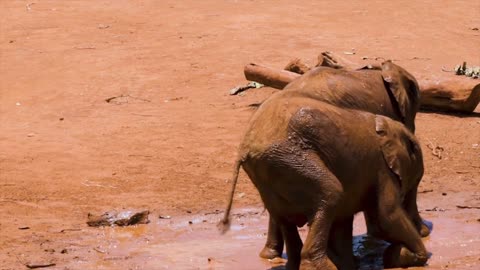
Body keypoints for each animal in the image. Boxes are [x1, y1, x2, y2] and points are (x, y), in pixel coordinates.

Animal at [219, 92, 430, 268]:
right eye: (415, 150)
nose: (425, 234)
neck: (389, 125)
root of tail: (245, 146)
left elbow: (347, 222)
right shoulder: (382, 167)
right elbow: (385, 217)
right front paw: (411, 256)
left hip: (270, 171)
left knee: (283, 216)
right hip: (290, 158)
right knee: (331, 192)